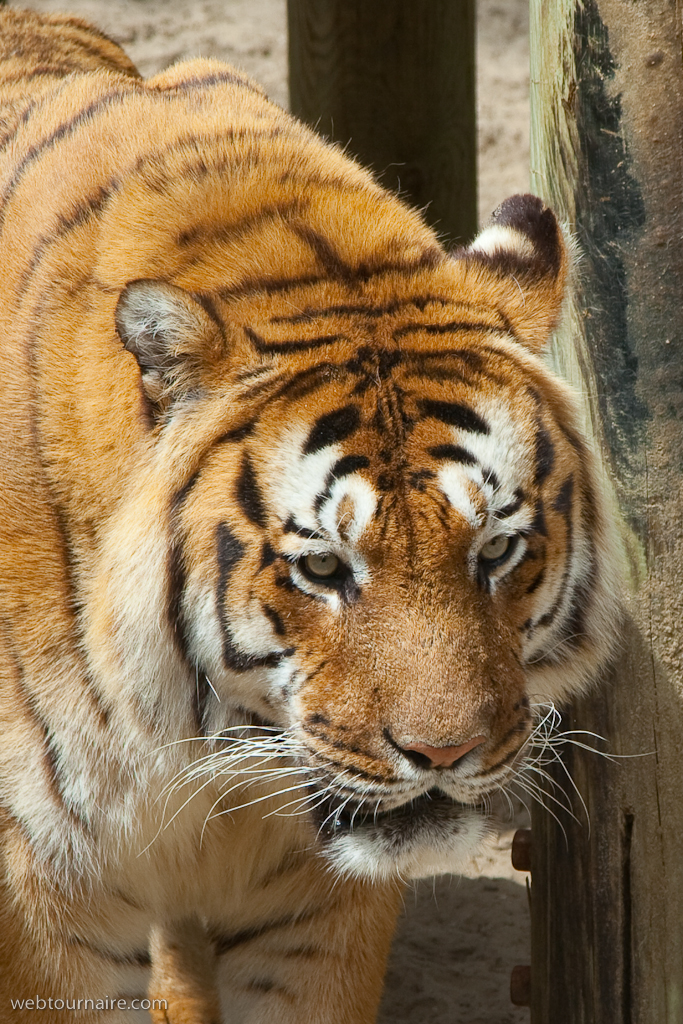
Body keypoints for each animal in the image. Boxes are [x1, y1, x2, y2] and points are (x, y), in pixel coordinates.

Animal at [0, 7, 623, 1023]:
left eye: (496, 549)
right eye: (325, 567)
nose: (444, 753)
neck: (209, 767)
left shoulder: (315, 910)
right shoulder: (42, 900)